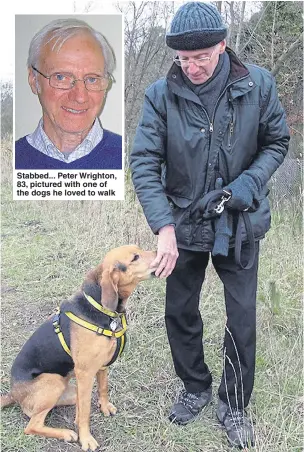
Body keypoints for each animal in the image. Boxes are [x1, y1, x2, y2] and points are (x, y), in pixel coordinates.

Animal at [2, 245, 158, 450]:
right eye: (135, 257)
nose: (161, 252)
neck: (100, 308)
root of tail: (13, 393)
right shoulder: (85, 373)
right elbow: (85, 412)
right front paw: (86, 439)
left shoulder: (102, 366)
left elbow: (102, 390)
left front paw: (104, 407)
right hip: (54, 382)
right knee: (32, 426)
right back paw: (66, 433)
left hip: (68, 390)